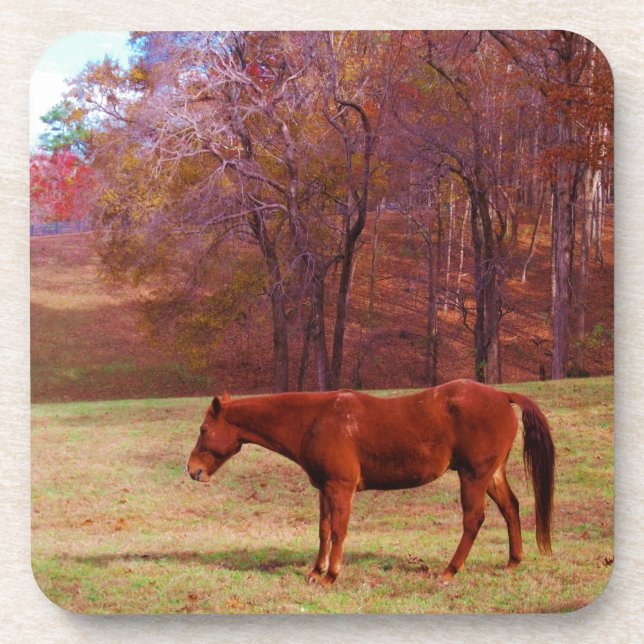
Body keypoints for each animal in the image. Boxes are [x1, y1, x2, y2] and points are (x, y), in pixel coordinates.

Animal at [187, 379, 555, 586]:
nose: (192, 469)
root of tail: (502, 396)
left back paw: (450, 570)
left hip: (473, 476)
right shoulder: (324, 488)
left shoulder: (341, 487)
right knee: (511, 508)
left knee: (473, 520)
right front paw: (315, 571)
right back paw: (513, 561)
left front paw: (331, 576)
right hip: (491, 474)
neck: (315, 419)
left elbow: (338, 531)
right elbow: (323, 530)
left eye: (204, 430)